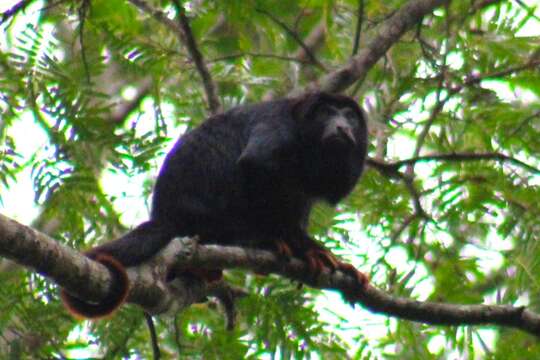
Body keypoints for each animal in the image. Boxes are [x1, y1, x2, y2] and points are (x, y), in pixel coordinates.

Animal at [61, 92, 370, 318]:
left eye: (350, 116)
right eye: (327, 112)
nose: (342, 126)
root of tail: (166, 215)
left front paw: (324, 254)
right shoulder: (279, 123)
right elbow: (257, 163)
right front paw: (296, 245)